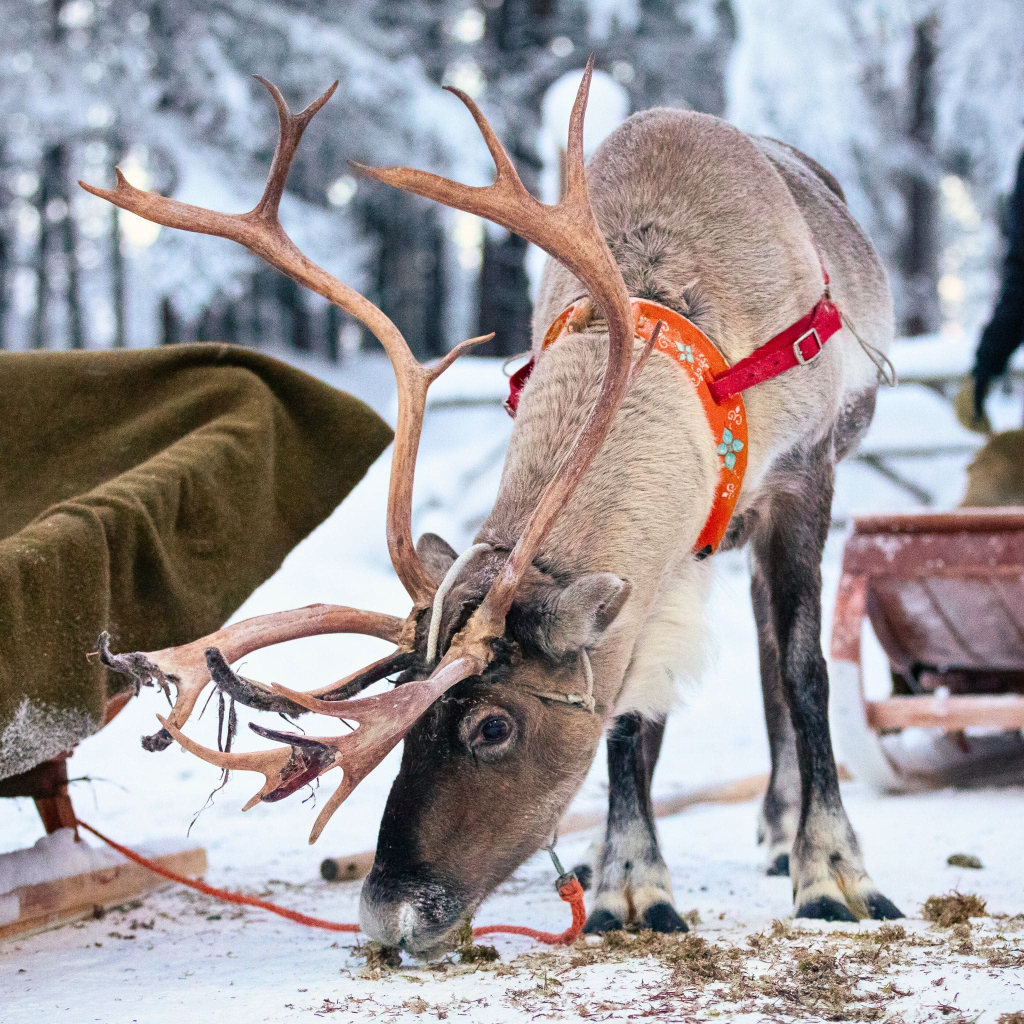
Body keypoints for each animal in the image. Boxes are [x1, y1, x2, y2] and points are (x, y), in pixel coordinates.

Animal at [90, 59, 903, 957]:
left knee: (771, 651)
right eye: (408, 722)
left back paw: (781, 828)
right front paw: (628, 883)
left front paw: (834, 873)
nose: (388, 912)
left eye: (492, 727)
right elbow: (629, 714)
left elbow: (805, 671)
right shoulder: (665, 564)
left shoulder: (802, 481)